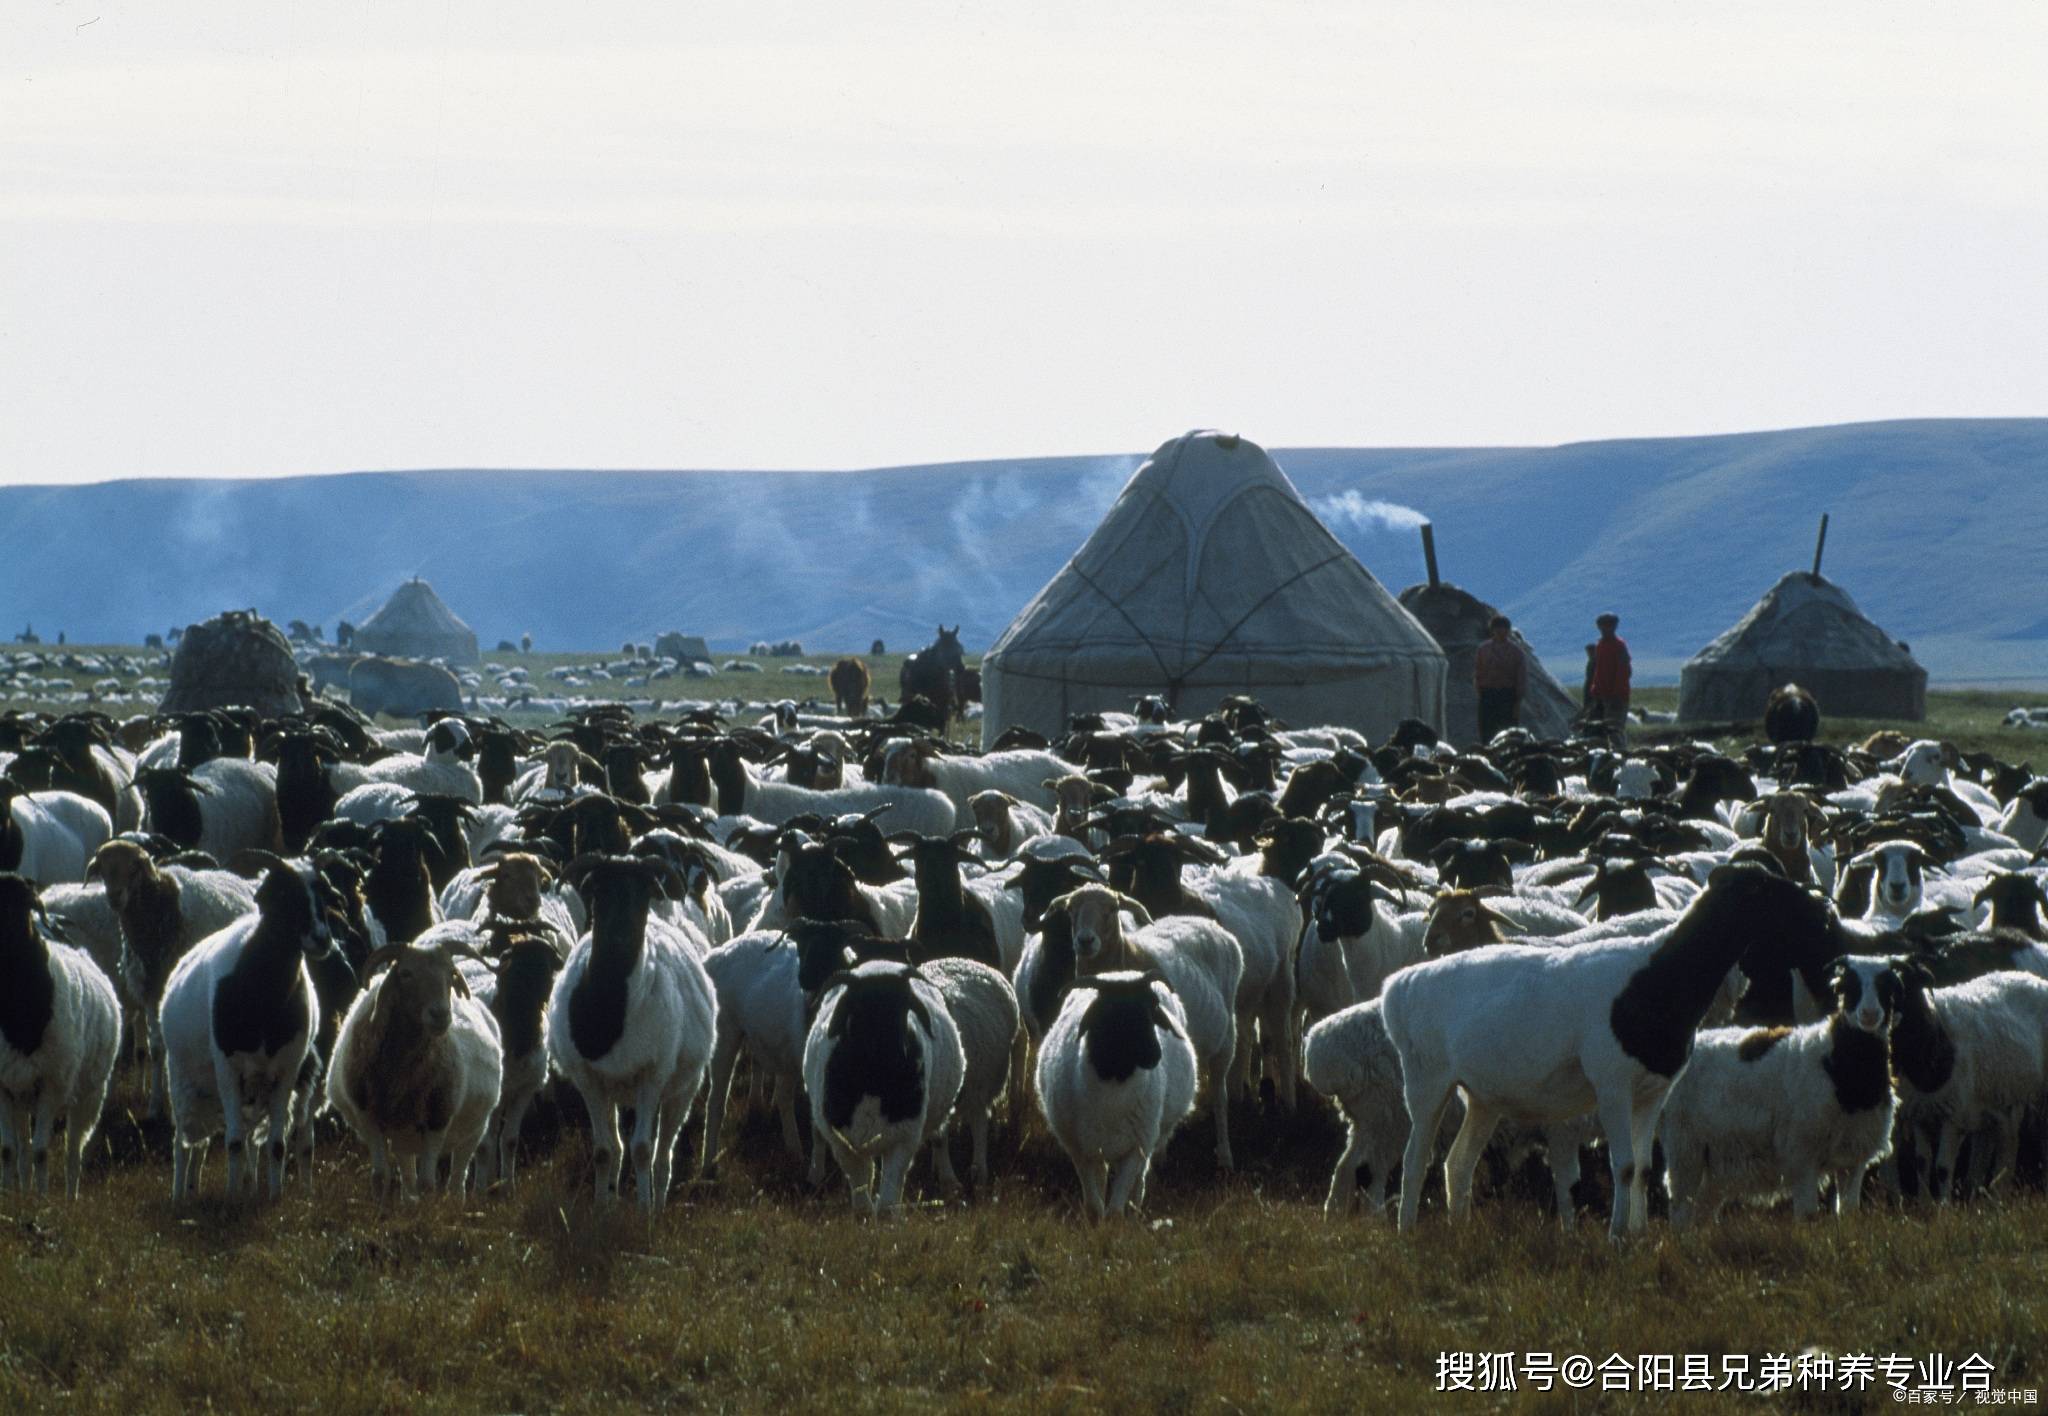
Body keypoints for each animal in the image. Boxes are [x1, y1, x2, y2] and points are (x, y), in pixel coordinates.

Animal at [157, 856, 337, 1204]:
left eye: (323, 893)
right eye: (284, 894)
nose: (323, 938)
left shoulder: (286, 1071)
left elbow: (276, 1145)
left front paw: (274, 1196)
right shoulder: (227, 1069)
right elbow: (234, 1143)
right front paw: (231, 1197)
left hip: (244, 1090)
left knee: (206, 1145)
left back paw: (220, 1187)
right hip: (184, 1082)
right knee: (183, 1144)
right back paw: (179, 1196)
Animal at [327, 926, 507, 1204]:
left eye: (451, 973)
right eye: (405, 973)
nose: (441, 1014)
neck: (399, 1074)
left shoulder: (438, 1120)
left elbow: (428, 1184)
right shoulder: (368, 1118)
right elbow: (380, 1177)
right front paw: (381, 1211)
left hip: (474, 1130)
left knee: (457, 1180)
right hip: (405, 1136)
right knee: (408, 1179)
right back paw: (409, 1204)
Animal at [1040, 975, 1196, 1221]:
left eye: (1153, 1008)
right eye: (1112, 1011)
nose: (1155, 1054)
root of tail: (1121, 973)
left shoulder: (1135, 1149)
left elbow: (1115, 1211)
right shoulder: (1080, 1150)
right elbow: (1094, 1207)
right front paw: (1096, 1226)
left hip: (1150, 1139)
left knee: (1139, 1184)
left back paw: (1134, 1215)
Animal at [1376, 864, 1810, 1237]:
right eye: (1759, 888)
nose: (1810, 903)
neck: (1655, 978)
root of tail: (1399, 985)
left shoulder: (1654, 1092)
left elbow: (1645, 1169)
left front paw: (1639, 1234)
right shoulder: (1611, 1085)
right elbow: (1625, 1166)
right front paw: (1617, 1235)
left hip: (1483, 1097)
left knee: (1458, 1164)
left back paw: (1460, 1230)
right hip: (1426, 1080)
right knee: (1415, 1161)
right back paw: (1406, 1230)